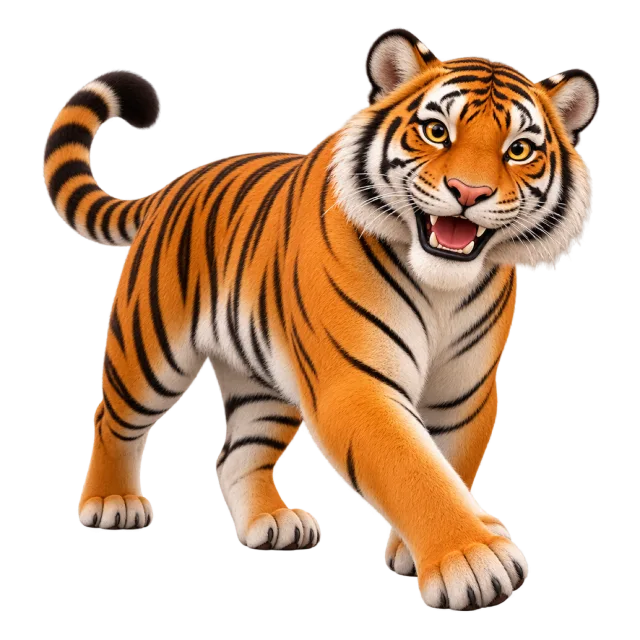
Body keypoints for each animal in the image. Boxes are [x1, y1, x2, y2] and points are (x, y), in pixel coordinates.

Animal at [44, 28, 598, 611]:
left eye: (518, 150)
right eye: (436, 131)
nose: (470, 193)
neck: (441, 289)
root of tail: (172, 185)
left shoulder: (465, 395)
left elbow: (448, 466)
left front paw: (412, 551)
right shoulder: (356, 384)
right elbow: (414, 469)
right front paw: (472, 559)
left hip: (265, 383)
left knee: (237, 455)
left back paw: (272, 522)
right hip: (151, 352)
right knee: (111, 419)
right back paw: (111, 502)